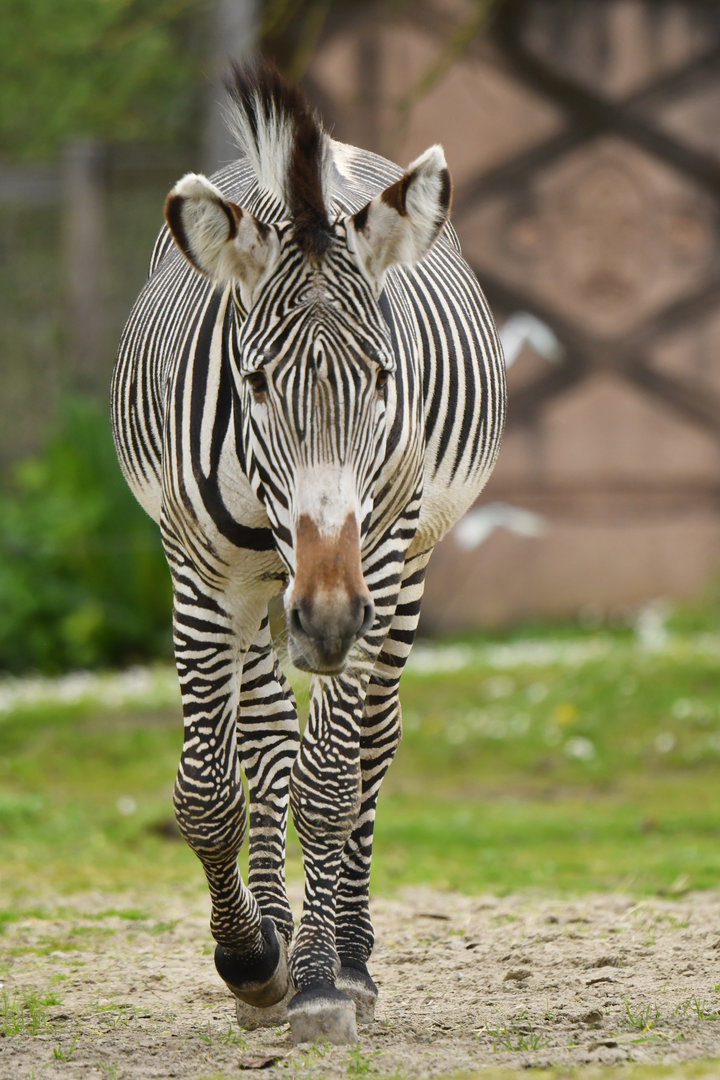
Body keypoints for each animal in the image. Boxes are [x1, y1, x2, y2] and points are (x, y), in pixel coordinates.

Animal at [111, 60, 505, 1045]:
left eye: (382, 379)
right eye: (253, 382)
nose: (325, 622)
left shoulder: (378, 555)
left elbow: (331, 778)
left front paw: (323, 981)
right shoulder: (201, 572)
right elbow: (210, 788)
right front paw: (254, 959)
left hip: (397, 574)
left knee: (370, 745)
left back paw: (351, 959)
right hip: (258, 592)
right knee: (264, 736)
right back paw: (276, 939)